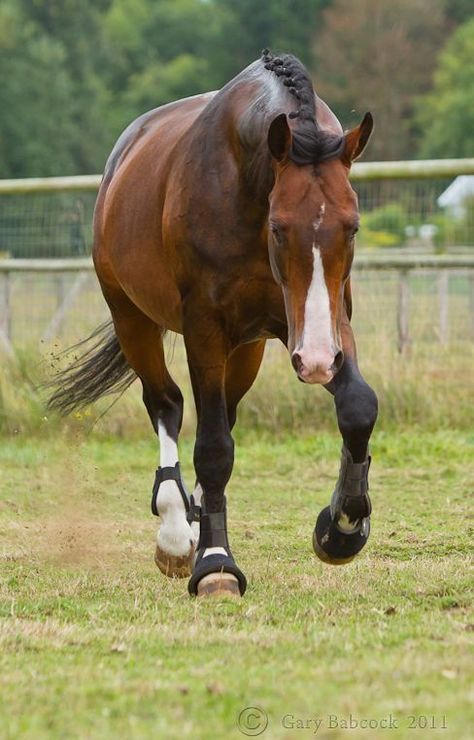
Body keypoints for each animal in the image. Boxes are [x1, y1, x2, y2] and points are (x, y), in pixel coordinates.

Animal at [49, 50, 378, 596]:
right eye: (278, 227)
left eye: (351, 226)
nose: (314, 363)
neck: (244, 181)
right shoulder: (205, 326)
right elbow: (213, 447)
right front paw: (216, 563)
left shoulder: (326, 322)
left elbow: (357, 407)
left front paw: (342, 528)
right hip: (133, 318)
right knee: (168, 403)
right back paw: (175, 530)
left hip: (248, 347)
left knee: (222, 408)